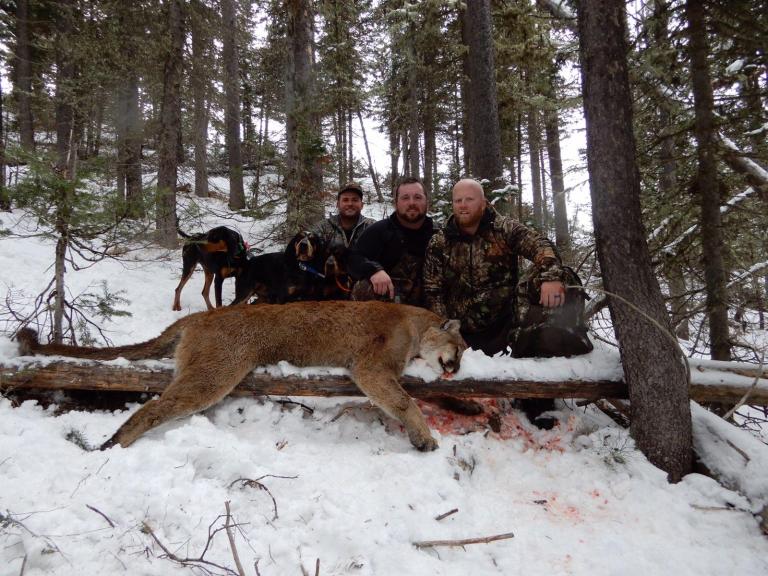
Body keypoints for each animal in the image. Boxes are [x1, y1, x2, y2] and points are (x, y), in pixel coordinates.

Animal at [16, 301, 466, 451]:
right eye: (460, 347)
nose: (457, 367)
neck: (414, 323)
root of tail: (200, 316)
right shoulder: (370, 367)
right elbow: (404, 400)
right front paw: (424, 437)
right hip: (214, 373)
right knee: (155, 408)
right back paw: (113, 446)